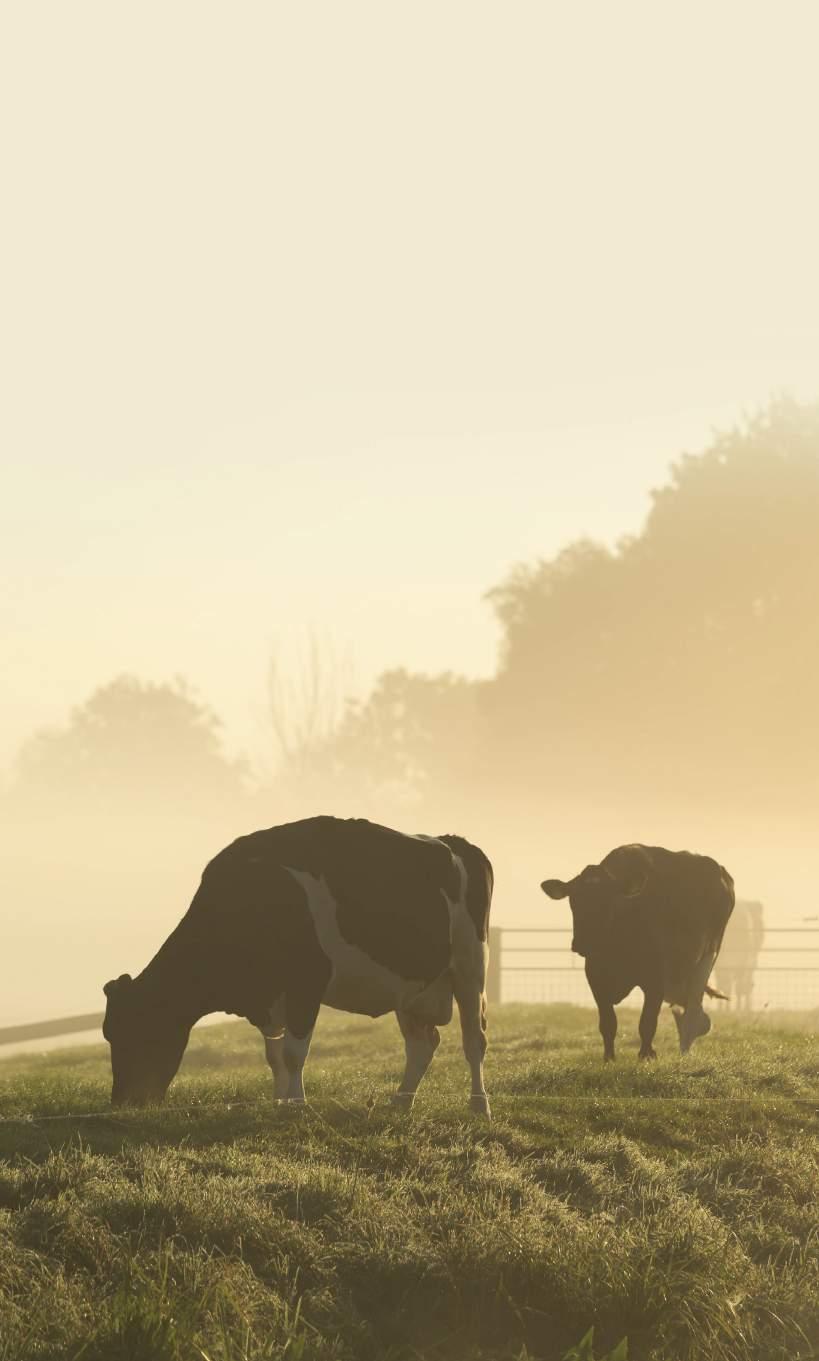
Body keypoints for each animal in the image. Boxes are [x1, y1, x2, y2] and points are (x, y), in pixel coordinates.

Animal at [98, 816, 487, 1116]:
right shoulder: (272, 998)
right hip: (410, 988)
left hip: (470, 966)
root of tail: (452, 841)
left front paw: (297, 1105)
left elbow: (294, 1052)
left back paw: (478, 1106)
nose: (122, 1103)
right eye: (110, 1034)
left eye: (141, 1030)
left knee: (474, 1040)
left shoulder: (306, 984)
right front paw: (279, 1101)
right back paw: (401, 1102)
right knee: (422, 1045)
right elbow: (274, 1056)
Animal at [538, 843, 729, 1056]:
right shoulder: (595, 977)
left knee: (693, 1012)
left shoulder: (656, 979)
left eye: (607, 901)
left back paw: (685, 1049)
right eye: (574, 900)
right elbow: (608, 1023)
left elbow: (647, 1023)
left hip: (707, 957)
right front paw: (609, 1057)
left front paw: (646, 1055)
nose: (583, 942)